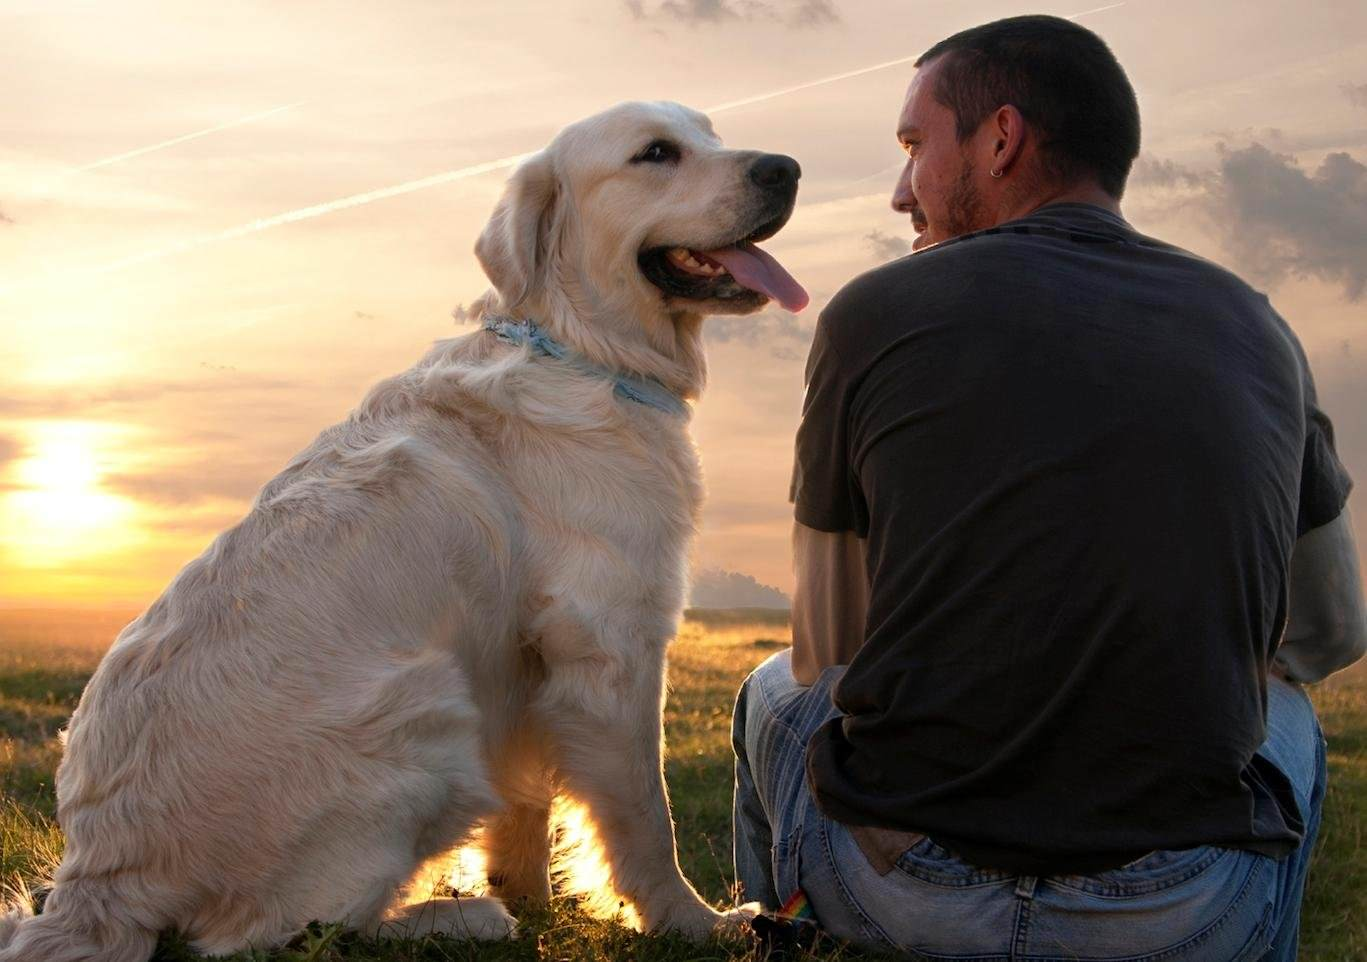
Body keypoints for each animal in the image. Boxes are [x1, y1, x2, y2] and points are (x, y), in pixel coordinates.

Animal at [0, 103, 803, 962]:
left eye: (710, 133)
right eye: (655, 153)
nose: (785, 168)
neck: (583, 352)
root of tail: (98, 887)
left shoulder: (520, 665)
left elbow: (527, 803)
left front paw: (534, 897)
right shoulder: (610, 643)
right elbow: (643, 816)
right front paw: (693, 922)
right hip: (427, 709)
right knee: (272, 932)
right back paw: (458, 917)